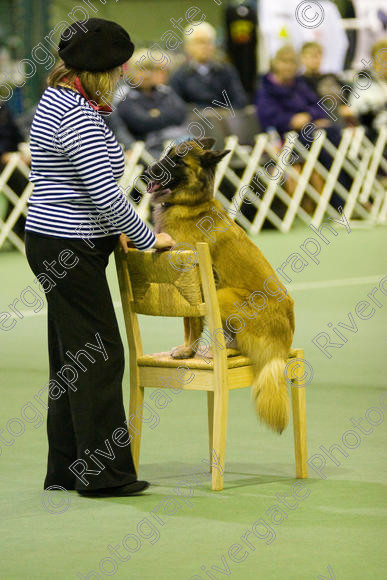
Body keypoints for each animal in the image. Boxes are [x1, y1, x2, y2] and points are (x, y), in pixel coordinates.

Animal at [145, 138, 294, 432]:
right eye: (166, 153)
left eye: (177, 160)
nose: (147, 171)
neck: (191, 203)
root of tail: (283, 347)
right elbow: (187, 322)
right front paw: (187, 349)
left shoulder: (195, 281)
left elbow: (193, 323)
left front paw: (188, 351)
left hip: (223, 294)